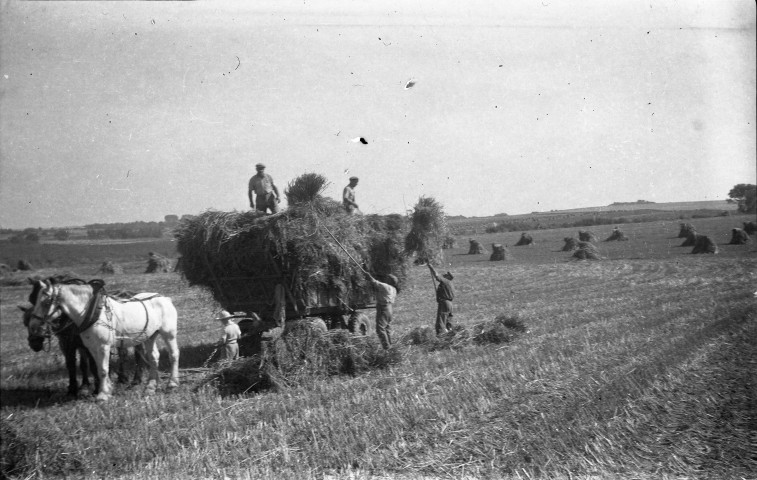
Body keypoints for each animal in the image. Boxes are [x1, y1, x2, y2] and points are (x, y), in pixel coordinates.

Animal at [28, 279, 179, 401]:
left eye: (46, 302)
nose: (33, 327)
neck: (93, 312)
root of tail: (165, 299)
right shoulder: (91, 347)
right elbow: (97, 368)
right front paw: (106, 389)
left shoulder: (103, 346)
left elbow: (103, 369)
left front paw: (103, 394)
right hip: (150, 336)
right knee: (154, 357)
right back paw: (150, 387)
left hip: (169, 334)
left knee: (173, 355)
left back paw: (172, 384)